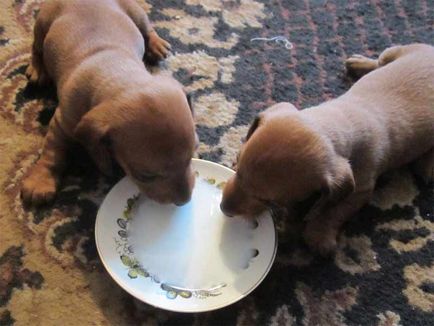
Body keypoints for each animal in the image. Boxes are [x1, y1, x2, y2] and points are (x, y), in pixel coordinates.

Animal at [20, 0, 197, 206]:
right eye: (146, 176)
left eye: (193, 153)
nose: (185, 200)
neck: (116, 71)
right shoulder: (62, 123)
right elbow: (52, 152)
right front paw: (40, 181)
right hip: (42, 23)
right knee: (36, 46)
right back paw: (38, 68)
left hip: (136, 13)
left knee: (147, 29)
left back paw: (156, 44)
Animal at [220, 44, 434, 255]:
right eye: (238, 173)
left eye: (266, 198)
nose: (223, 207)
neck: (337, 122)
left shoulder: (361, 189)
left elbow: (334, 209)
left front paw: (319, 233)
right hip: (398, 51)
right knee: (381, 60)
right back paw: (359, 63)